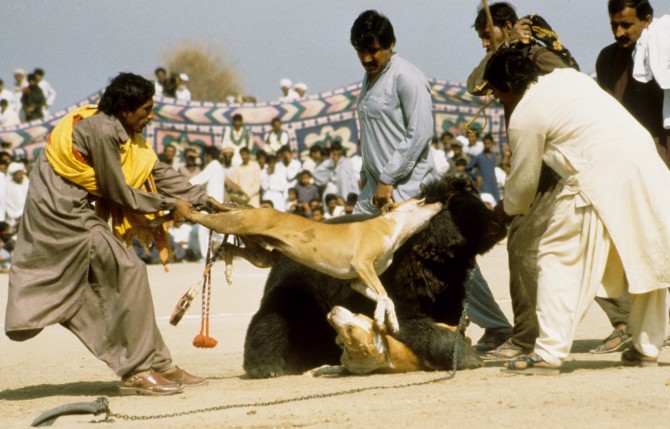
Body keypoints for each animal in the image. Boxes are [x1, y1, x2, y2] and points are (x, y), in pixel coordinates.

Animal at [190, 197, 440, 332]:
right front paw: (381, 317)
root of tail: (256, 208)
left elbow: (384, 297)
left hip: (261, 253)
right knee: (206, 220)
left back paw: (229, 271)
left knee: (229, 247)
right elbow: (384, 294)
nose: (439, 201)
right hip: (235, 224)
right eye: (421, 200)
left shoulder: (358, 280)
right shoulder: (363, 265)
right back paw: (187, 209)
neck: (390, 226)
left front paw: (387, 321)